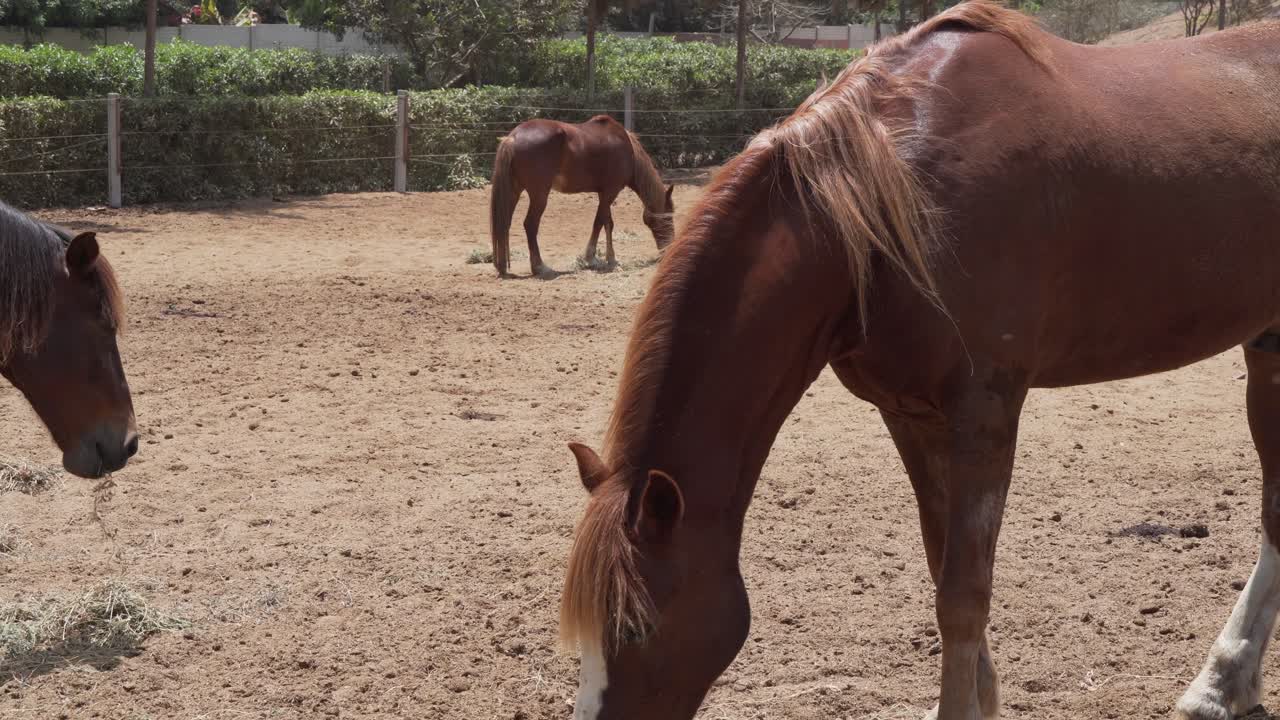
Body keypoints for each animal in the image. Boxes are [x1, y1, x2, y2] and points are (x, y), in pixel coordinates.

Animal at [489, 115, 675, 277]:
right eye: (668, 218)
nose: (668, 248)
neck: (628, 150)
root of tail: (513, 138)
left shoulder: (604, 194)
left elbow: (606, 223)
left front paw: (607, 259)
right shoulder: (610, 192)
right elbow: (601, 222)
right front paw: (595, 258)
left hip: (514, 191)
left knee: (504, 223)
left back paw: (502, 266)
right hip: (539, 195)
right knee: (530, 225)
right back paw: (540, 267)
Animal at [558, 3, 1280, 719]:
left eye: (635, 627)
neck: (884, 198)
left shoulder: (984, 412)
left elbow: (963, 594)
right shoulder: (910, 414)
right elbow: (941, 570)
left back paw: (1220, 682)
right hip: (1269, 350)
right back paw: (1225, 683)